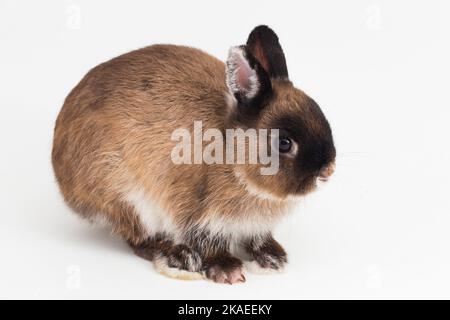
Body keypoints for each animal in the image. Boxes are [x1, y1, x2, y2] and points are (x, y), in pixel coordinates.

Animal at [51, 25, 334, 284]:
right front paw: (228, 270)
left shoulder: (252, 226)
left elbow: (256, 238)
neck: (232, 154)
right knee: (139, 239)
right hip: (128, 199)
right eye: (284, 143)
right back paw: (179, 257)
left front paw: (273, 258)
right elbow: (206, 241)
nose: (327, 172)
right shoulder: (196, 213)